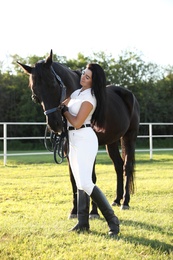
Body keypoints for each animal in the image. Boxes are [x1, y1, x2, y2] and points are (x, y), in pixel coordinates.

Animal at [17, 50, 140, 215]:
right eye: (35, 92)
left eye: (53, 84)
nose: (55, 124)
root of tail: (129, 94)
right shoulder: (67, 149)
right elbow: (74, 178)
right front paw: (75, 210)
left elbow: (91, 177)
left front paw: (93, 212)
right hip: (112, 141)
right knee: (118, 165)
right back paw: (116, 199)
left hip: (129, 137)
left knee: (127, 166)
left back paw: (125, 202)